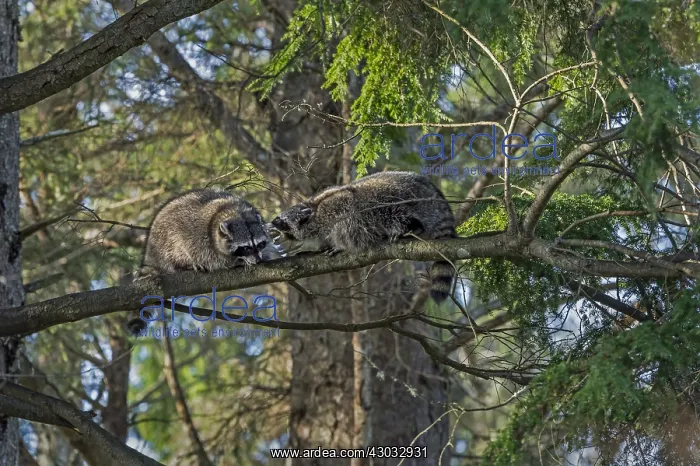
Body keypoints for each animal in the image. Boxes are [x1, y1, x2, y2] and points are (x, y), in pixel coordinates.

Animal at [126, 189, 280, 335]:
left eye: (259, 244)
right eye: (246, 248)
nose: (258, 260)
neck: (234, 211)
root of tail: (150, 244)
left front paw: (263, 255)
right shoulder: (201, 239)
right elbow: (213, 260)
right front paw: (238, 261)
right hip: (165, 239)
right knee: (176, 246)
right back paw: (184, 265)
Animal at [268, 171, 457, 302]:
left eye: (279, 220)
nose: (268, 224)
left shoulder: (338, 208)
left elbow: (347, 227)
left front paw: (339, 245)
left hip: (403, 200)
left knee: (393, 213)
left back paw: (410, 226)